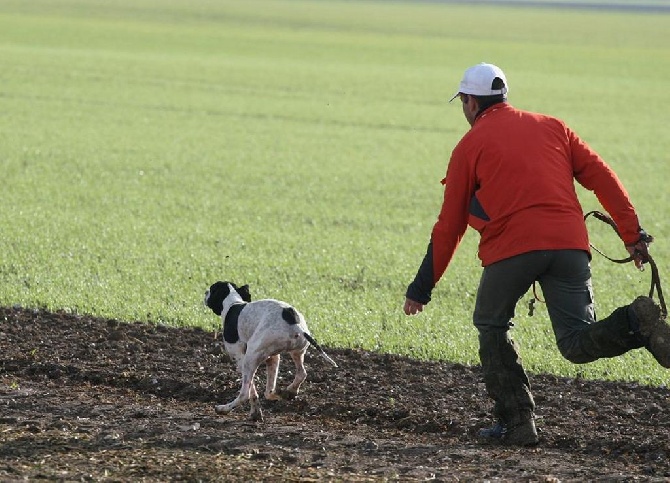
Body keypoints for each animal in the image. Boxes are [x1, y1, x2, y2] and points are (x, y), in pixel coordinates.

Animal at [205, 282, 338, 422]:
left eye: (212, 289)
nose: (205, 292)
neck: (233, 303)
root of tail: (296, 326)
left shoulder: (240, 357)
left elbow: (252, 390)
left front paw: (255, 412)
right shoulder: (271, 358)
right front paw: (257, 412)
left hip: (251, 357)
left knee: (245, 393)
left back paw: (224, 408)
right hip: (293, 353)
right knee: (298, 375)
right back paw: (287, 392)